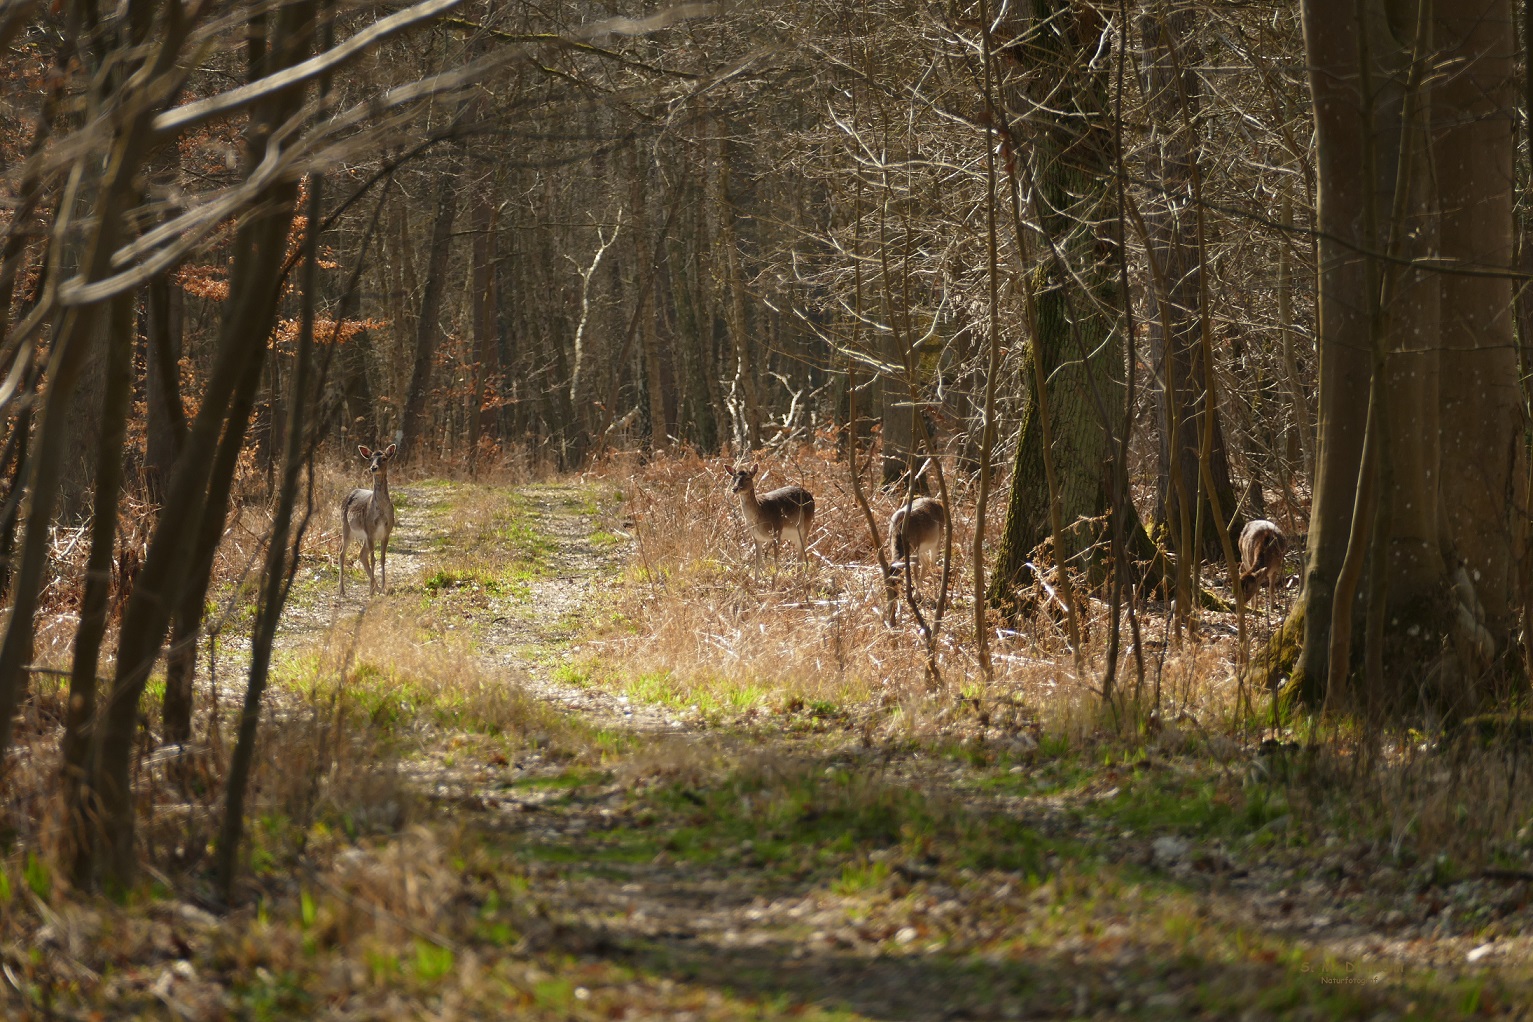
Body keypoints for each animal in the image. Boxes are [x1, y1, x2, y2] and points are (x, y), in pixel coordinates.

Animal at [341, 441, 398, 600]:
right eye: (370, 458)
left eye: (384, 458)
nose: (373, 468)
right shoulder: (370, 530)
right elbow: (374, 559)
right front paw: (371, 591)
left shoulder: (386, 532)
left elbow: (383, 558)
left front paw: (383, 587)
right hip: (346, 527)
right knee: (342, 554)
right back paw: (342, 590)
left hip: (363, 536)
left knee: (361, 555)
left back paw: (376, 587)